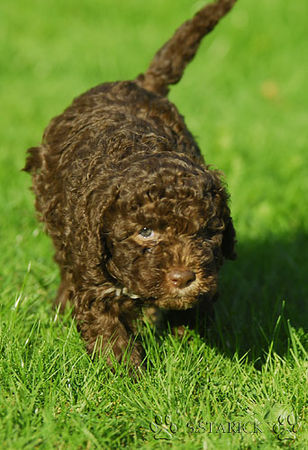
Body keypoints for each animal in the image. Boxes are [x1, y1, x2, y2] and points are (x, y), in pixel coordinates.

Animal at [25, 0, 238, 368]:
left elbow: (192, 315)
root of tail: (139, 83)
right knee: (65, 266)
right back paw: (62, 306)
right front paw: (127, 374)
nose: (183, 278)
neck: (140, 149)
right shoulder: (93, 271)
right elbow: (109, 333)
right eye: (145, 232)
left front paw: (188, 352)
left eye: (206, 232)